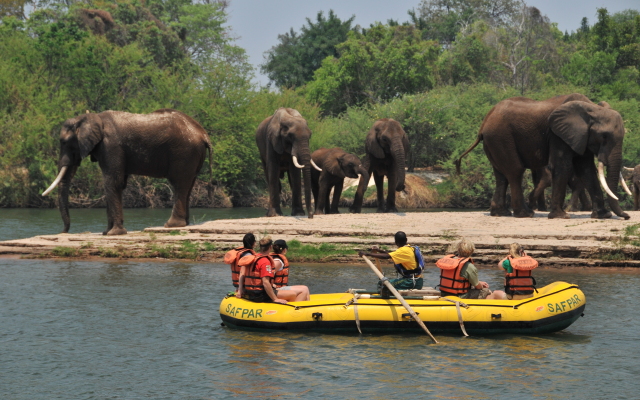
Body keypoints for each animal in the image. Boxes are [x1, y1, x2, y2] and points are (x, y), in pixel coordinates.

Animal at [42, 108, 212, 234]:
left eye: (64, 142)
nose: (63, 232)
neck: (92, 117)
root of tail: (203, 134)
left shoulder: (111, 145)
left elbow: (112, 182)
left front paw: (113, 233)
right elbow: (119, 183)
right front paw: (106, 233)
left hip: (184, 152)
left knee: (179, 183)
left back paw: (171, 225)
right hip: (193, 154)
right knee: (189, 184)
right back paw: (184, 224)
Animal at [456, 94, 632, 219]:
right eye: (604, 137)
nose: (627, 216)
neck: (592, 108)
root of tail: (484, 122)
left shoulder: (582, 137)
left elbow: (586, 169)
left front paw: (603, 215)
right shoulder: (558, 135)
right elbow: (563, 166)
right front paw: (561, 216)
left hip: (493, 141)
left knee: (501, 175)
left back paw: (501, 213)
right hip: (501, 137)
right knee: (515, 171)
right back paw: (525, 214)